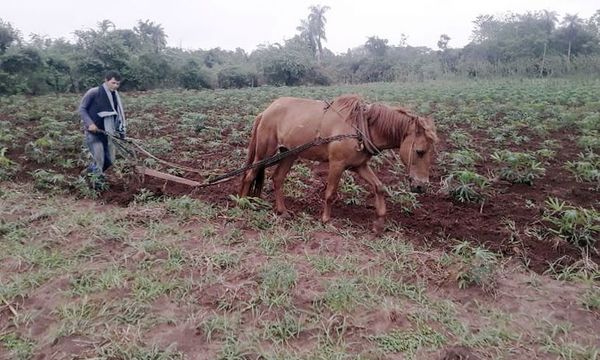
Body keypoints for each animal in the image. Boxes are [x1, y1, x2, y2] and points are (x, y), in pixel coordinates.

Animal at [237, 94, 438, 233]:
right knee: (249, 175)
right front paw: (326, 220)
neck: (362, 126)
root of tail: (266, 111)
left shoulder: (359, 166)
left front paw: (379, 224)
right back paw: (242, 204)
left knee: (278, 178)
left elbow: (379, 187)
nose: (421, 186)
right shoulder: (337, 164)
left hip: (289, 153)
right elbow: (330, 193)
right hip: (265, 152)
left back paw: (282, 211)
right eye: (420, 151)